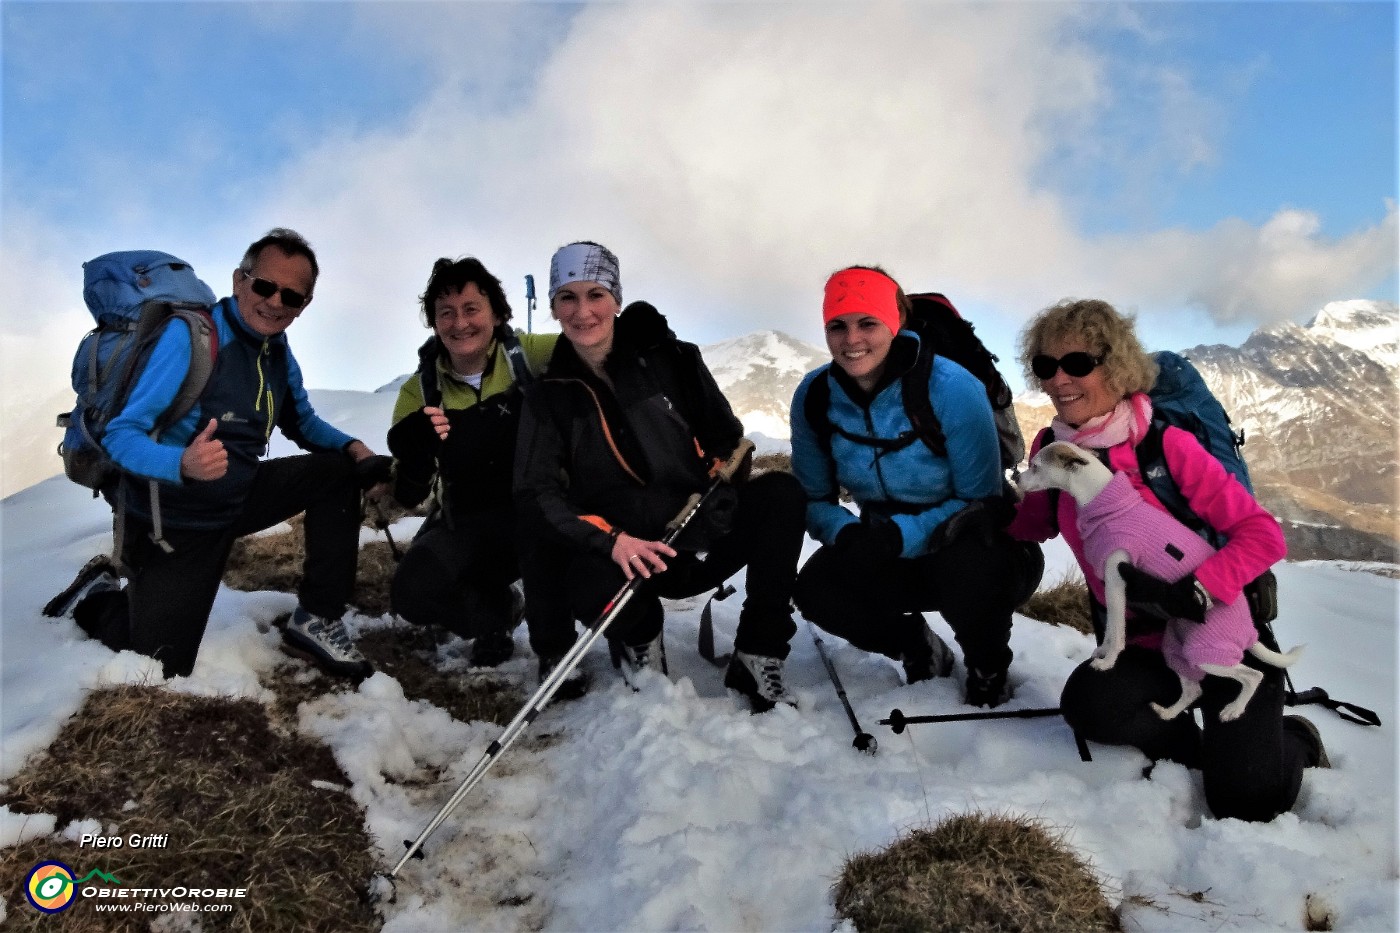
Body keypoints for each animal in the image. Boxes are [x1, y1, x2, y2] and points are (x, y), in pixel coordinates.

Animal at [1019, 437, 1299, 717]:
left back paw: (1233, 709)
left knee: (1253, 675)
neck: (1106, 502)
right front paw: (1102, 652)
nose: (1017, 479)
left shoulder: (1116, 580)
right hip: (1179, 646)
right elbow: (1110, 630)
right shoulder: (1113, 586)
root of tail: (1249, 629)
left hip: (1206, 652)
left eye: (1035, 466)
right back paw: (1167, 713)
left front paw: (1108, 662)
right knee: (1193, 690)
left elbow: (1117, 631)